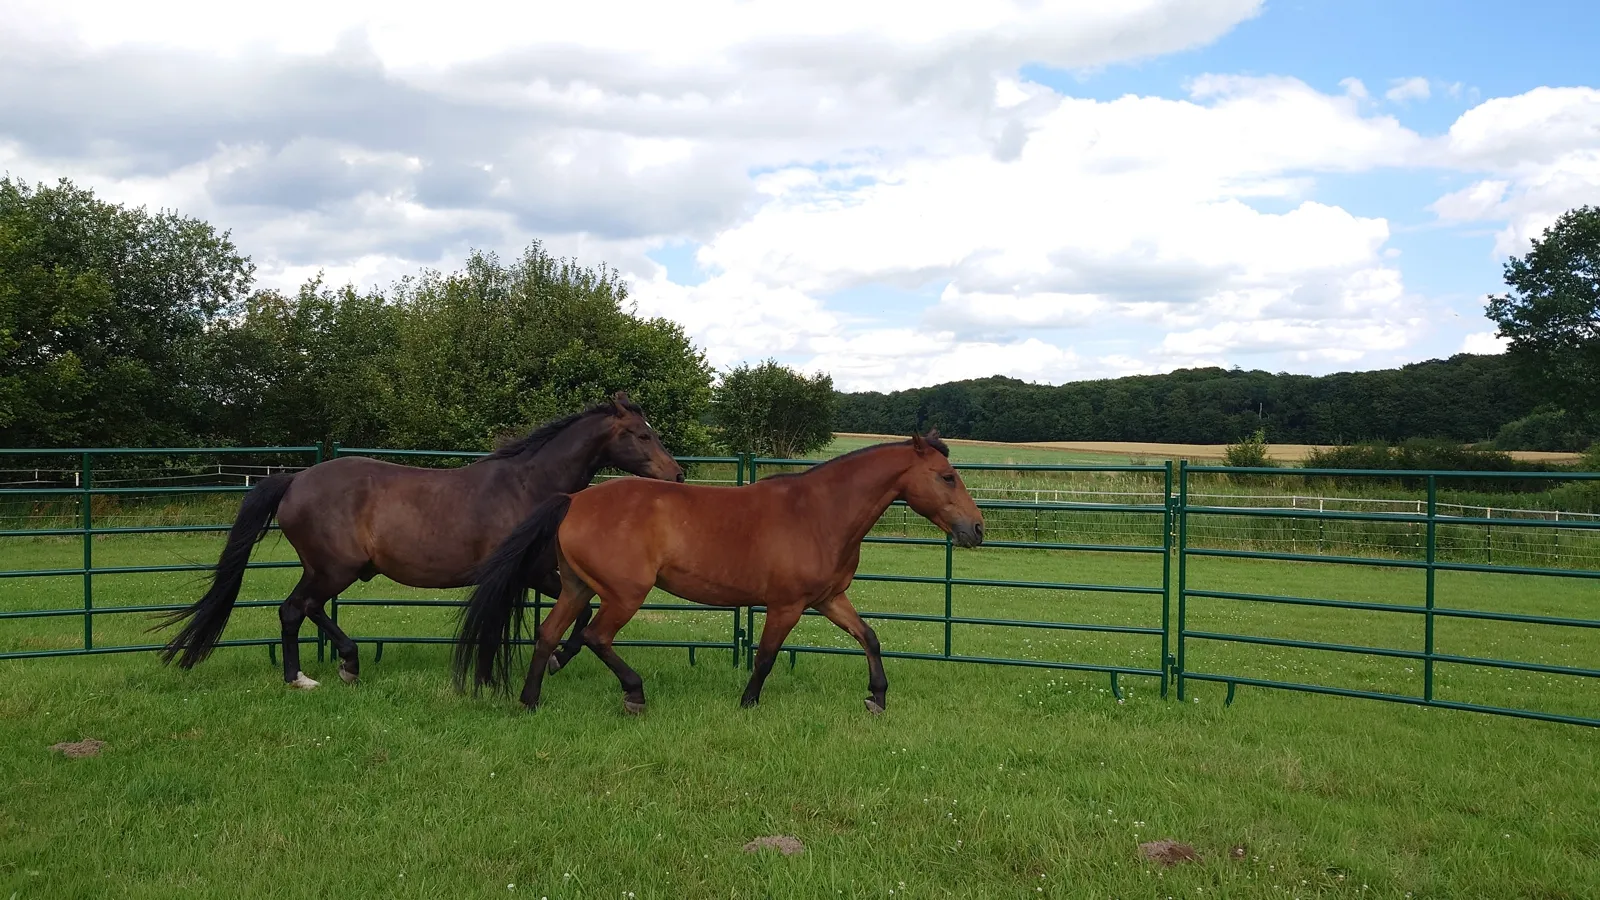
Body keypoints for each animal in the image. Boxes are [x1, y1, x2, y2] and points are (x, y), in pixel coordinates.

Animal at [155, 392, 683, 689]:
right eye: (641, 434)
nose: (677, 475)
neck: (527, 485)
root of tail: (294, 480)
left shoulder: (537, 575)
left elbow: (582, 612)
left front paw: (553, 659)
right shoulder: (526, 572)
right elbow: (534, 621)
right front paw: (509, 672)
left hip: (330, 570)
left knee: (305, 609)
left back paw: (338, 665)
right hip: (332, 569)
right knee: (294, 610)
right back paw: (311, 675)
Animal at [452, 431, 984, 715]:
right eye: (946, 477)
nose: (977, 528)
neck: (819, 512)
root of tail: (573, 500)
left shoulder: (829, 599)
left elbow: (869, 637)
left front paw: (877, 697)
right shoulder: (786, 605)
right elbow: (766, 657)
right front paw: (748, 702)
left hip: (578, 588)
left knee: (548, 635)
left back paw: (530, 700)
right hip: (624, 594)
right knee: (596, 637)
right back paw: (634, 695)